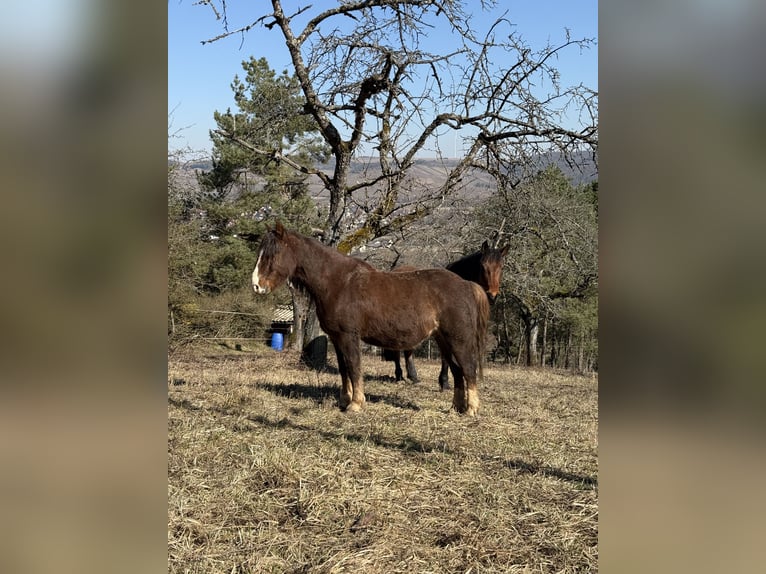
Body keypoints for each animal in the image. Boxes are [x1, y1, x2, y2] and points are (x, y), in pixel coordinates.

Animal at [251, 222, 490, 415]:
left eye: (272, 254)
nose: (256, 285)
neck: (339, 282)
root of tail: (466, 284)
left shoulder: (349, 336)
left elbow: (354, 366)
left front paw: (356, 404)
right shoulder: (337, 338)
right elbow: (344, 369)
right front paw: (344, 401)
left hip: (458, 340)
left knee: (468, 369)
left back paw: (471, 409)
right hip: (444, 341)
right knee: (458, 371)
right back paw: (456, 408)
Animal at [383, 241, 509, 389]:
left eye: (501, 267)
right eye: (483, 266)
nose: (492, 296)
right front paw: (444, 382)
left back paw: (413, 376)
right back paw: (399, 376)